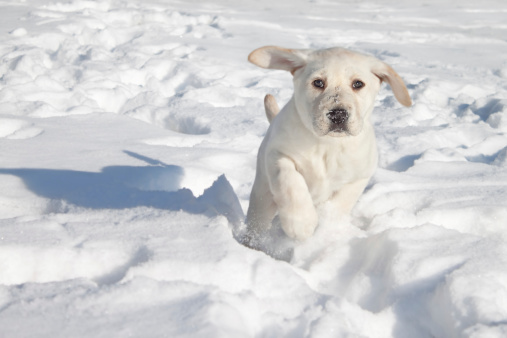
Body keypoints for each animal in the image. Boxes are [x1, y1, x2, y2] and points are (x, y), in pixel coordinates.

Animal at [243, 45, 412, 246]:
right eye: (318, 82)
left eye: (358, 84)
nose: (338, 114)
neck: (328, 144)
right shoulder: (277, 154)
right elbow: (290, 182)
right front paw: (301, 223)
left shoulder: (360, 175)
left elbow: (340, 203)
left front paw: (325, 225)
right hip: (262, 197)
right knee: (258, 220)